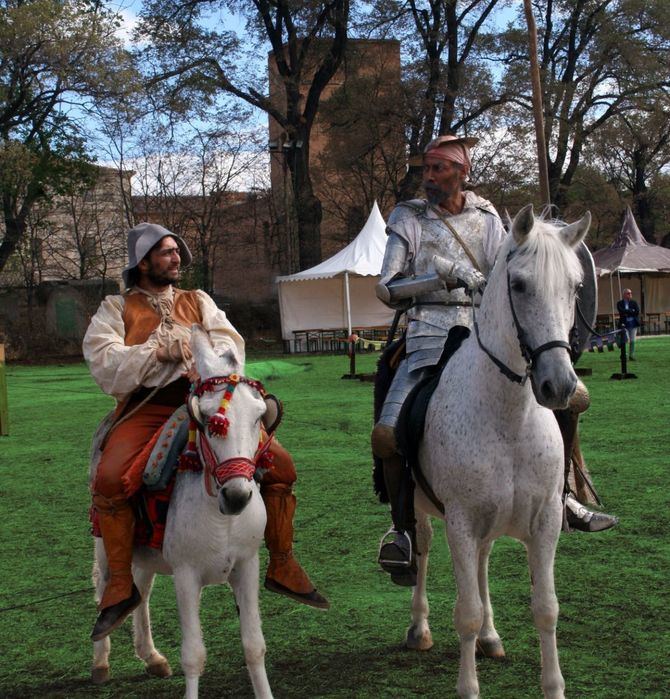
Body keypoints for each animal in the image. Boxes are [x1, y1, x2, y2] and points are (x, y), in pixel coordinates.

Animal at [92, 328, 276, 699]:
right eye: (205, 419)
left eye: (258, 415)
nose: (237, 496)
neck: (222, 518)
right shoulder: (186, 575)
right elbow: (193, 655)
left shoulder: (247, 566)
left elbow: (254, 645)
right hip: (105, 542)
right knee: (107, 587)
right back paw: (101, 661)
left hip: (144, 553)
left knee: (141, 591)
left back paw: (151, 657)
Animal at [410, 206, 592, 699]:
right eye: (520, 285)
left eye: (575, 286)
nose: (559, 386)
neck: (509, 420)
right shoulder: (459, 522)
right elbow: (466, 612)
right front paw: (468, 686)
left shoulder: (545, 519)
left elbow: (546, 607)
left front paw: (554, 685)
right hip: (421, 511)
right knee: (422, 551)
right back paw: (419, 628)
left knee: (483, 562)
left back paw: (491, 637)